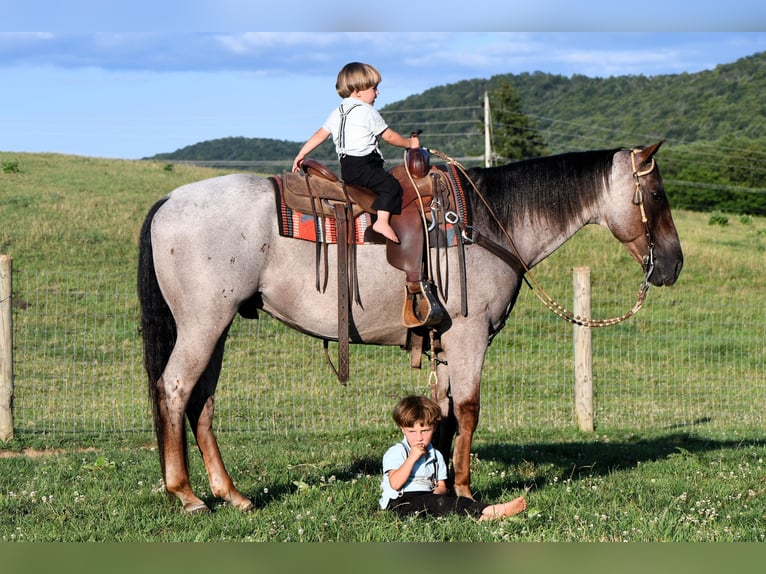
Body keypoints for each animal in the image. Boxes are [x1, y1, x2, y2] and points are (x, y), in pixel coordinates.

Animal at [136, 138, 684, 512]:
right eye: (656, 194)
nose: (673, 264)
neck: (487, 223)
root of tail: (169, 202)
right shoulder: (468, 337)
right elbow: (468, 412)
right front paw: (464, 489)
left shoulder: (446, 345)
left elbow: (442, 415)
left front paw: (440, 483)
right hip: (204, 324)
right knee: (175, 389)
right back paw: (187, 495)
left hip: (217, 327)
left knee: (202, 402)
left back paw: (231, 494)